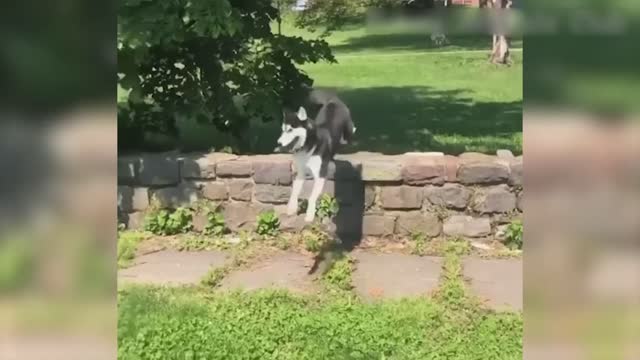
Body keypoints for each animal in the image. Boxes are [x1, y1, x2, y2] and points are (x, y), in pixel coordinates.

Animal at [276, 89, 356, 224]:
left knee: (351, 131)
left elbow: (311, 197)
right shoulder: (301, 172)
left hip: (348, 130)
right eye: (282, 130)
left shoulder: (320, 175)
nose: (279, 143)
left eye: (290, 130)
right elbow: (295, 191)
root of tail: (333, 100)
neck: (308, 146)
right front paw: (292, 208)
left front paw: (309, 214)